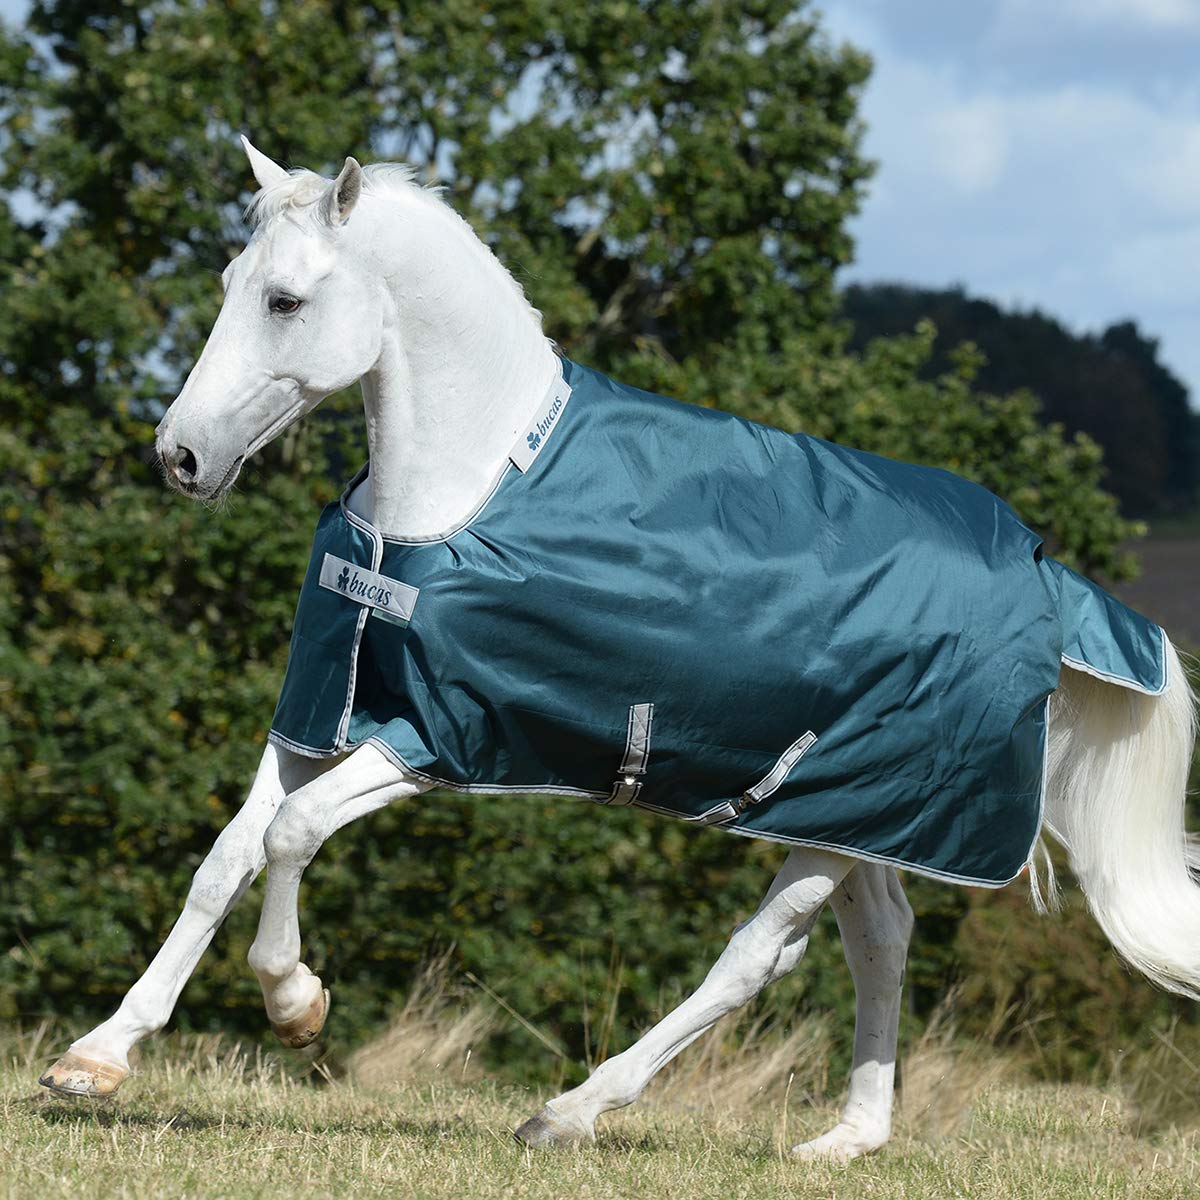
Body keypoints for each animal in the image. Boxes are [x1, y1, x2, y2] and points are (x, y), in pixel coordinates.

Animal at [40, 138, 1198, 1162]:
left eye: (284, 300)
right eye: (230, 281)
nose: (180, 457)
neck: (459, 489)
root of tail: (1045, 576)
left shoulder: (432, 739)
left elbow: (292, 837)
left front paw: (296, 1005)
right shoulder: (318, 713)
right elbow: (224, 859)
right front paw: (95, 1060)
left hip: (841, 815)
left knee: (756, 959)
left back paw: (571, 1112)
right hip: (858, 815)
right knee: (881, 938)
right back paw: (846, 1141)